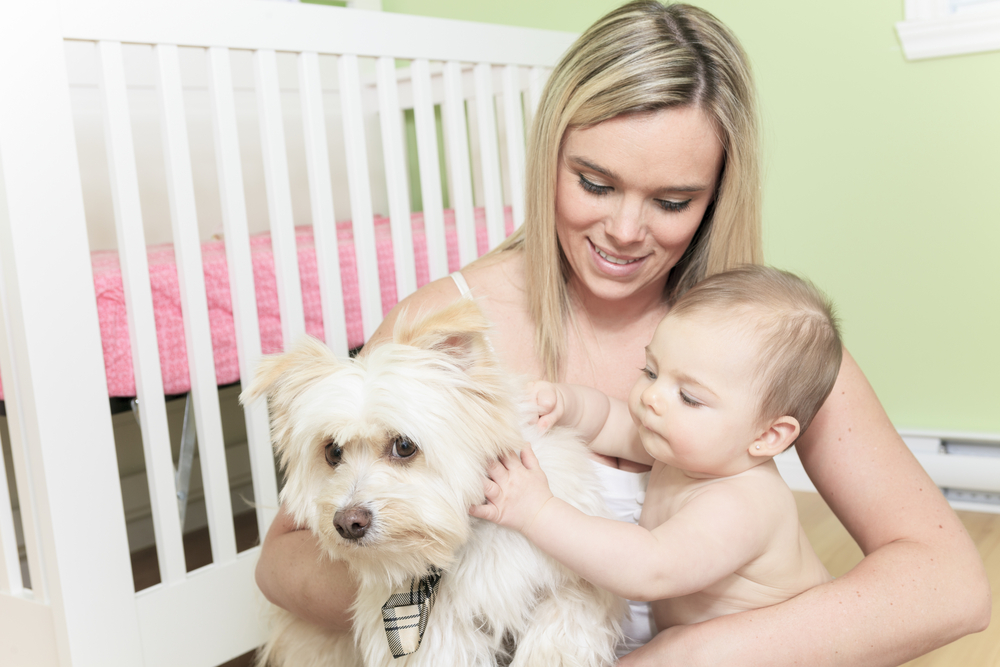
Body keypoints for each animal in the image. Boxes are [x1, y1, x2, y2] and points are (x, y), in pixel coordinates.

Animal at [241, 300, 620, 664]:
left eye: (404, 446)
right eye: (332, 452)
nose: (348, 523)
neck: (467, 536)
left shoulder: (573, 584)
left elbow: (562, 626)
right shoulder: (433, 635)